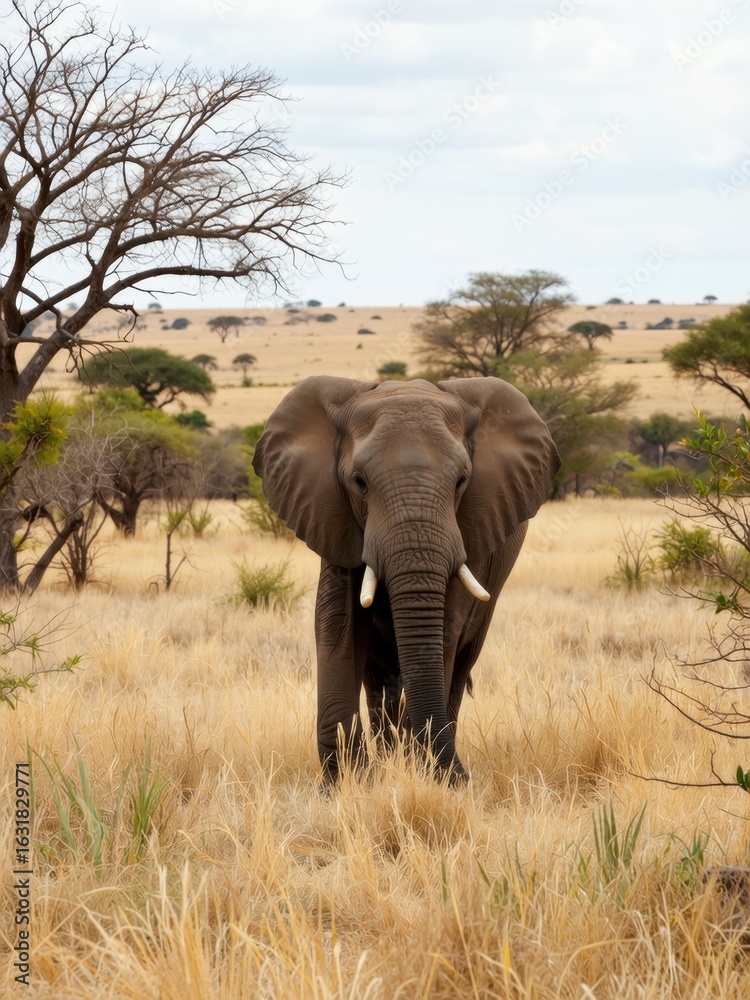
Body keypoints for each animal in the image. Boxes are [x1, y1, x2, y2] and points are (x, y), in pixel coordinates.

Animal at [252, 375, 560, 783]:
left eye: (462, 481)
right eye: (359, 482)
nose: (465, 778)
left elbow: (444, 632)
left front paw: (427, 776)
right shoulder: (334, 518)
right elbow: (337, 626)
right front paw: (350, 783)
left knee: (460, 665)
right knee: (378, 676)